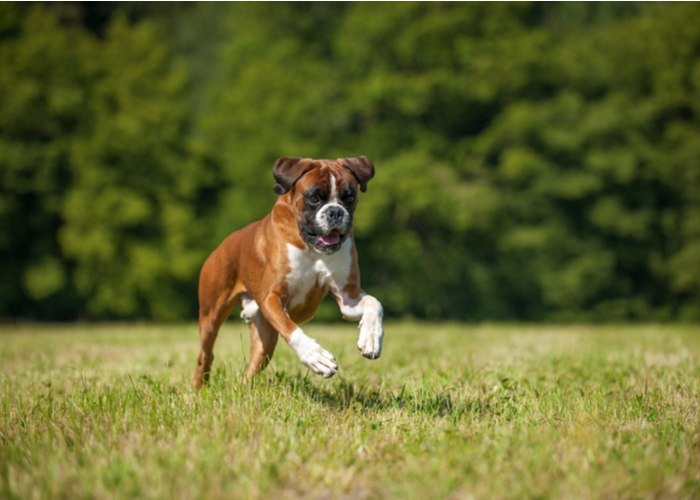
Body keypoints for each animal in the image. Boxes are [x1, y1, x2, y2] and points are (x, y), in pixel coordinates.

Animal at [193, 154, 382, 388]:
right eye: (314, 198)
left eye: (349, 198)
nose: (335, 212)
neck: (311, 247)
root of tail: (222, 245)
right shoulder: (272, 298)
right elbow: (292, 330)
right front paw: (315, 356)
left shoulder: (348, 296)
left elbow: (374, 303)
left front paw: (371, 337)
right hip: (211, 316)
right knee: (205, 355)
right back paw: (198, 388)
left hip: (265, 340)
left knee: (252, 368)